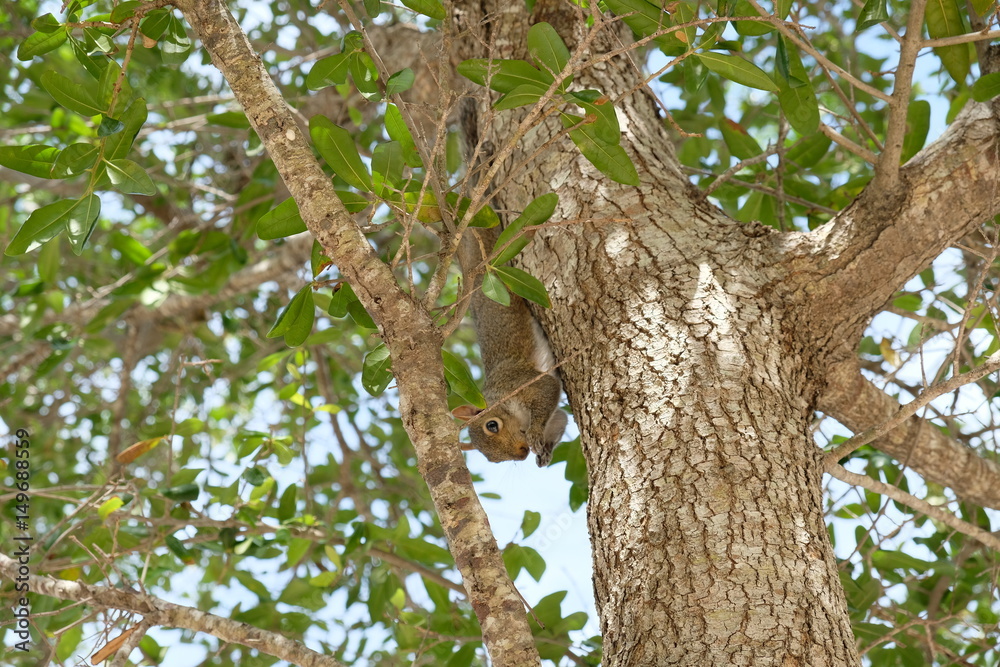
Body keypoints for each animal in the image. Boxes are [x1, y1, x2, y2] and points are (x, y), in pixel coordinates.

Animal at [452, 217, 568, 468]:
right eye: (493, 460)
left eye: (492, 425)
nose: (522, 453)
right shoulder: (554, 417)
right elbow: (560, 418)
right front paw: (544, 453)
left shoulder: (519, 383)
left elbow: (547, 388)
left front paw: (535, 433)